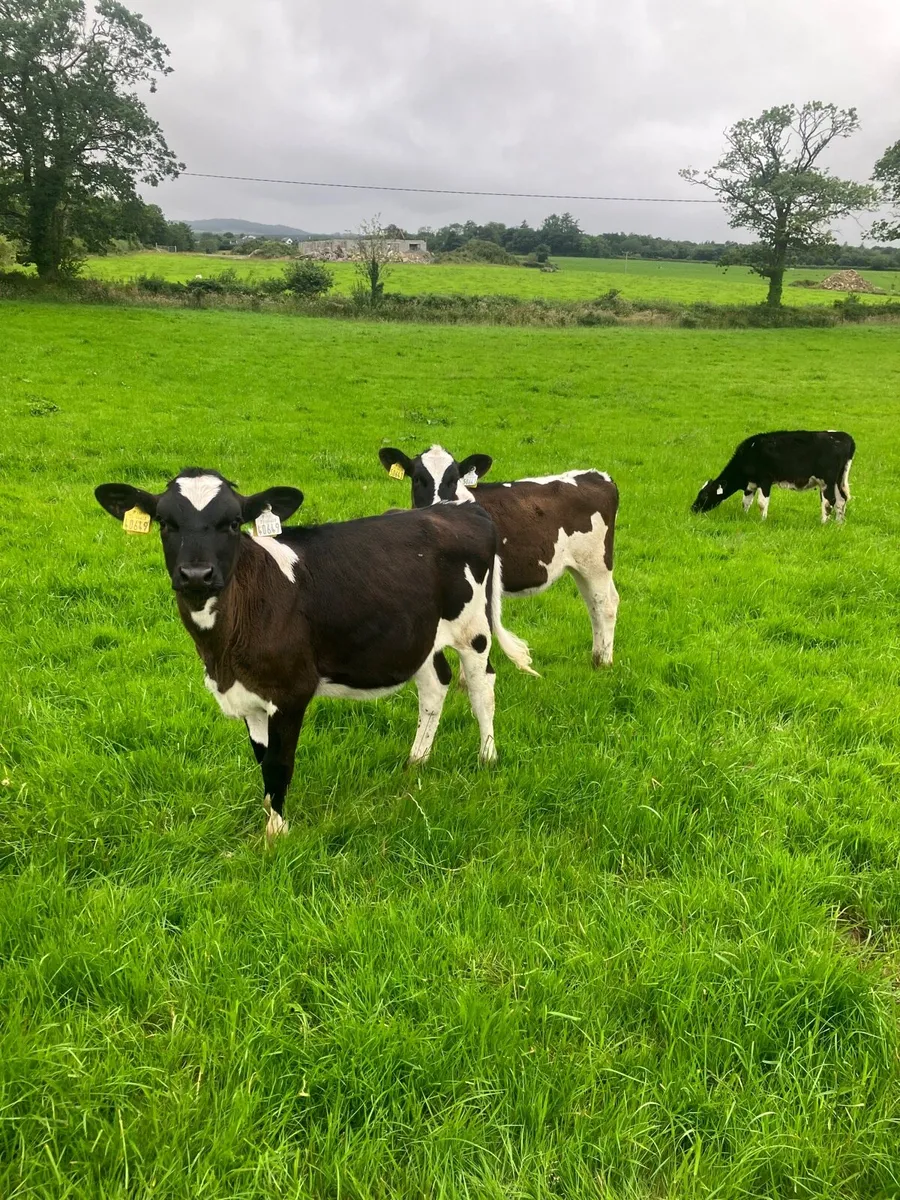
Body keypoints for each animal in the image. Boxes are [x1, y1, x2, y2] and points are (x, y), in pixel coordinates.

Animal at [94, 468, 536, 843]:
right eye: (165, 523)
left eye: (233, 523)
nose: (196, 575)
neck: (223, 651)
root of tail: (461, 508)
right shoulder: (249, 694)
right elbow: (262, 759)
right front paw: (270, 816)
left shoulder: (291, 690)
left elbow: (278, 763)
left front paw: (276, 834)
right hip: (419, 636)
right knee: (434, 686)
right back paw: (417, 761)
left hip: (472, 628)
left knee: (481, 687)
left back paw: (487, 757)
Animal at [378, 445, 619, 668]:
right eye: (418, 479)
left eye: (454, 479)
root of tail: (598, 476)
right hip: (581, 567)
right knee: (598, 604)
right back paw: (598, 657)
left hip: (596, 563)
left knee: (604, 606)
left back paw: (603, 663)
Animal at [692, 431, 855, 524]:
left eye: (704, 495)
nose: (693, 509)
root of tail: (844, 437)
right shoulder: (751, 484)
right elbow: (746, 502)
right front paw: (743, 517)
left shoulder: (765, 480)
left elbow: (762, 503)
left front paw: (762, 521)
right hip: (838, 480)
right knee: (841, 500)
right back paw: (839, 523)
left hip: (827, 481)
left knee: (829, 501)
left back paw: (824, 523)